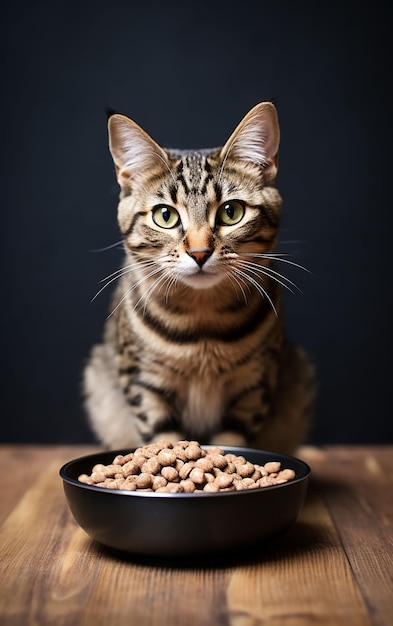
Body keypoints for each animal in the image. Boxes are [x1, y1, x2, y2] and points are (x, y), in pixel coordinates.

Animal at [83, 102, 316, 454]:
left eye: (231, 212)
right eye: (165, 216)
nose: (199, 252)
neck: (203, 324)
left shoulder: (254, 385)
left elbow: (232, 442)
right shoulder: (143, 383)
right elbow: (162, 439)